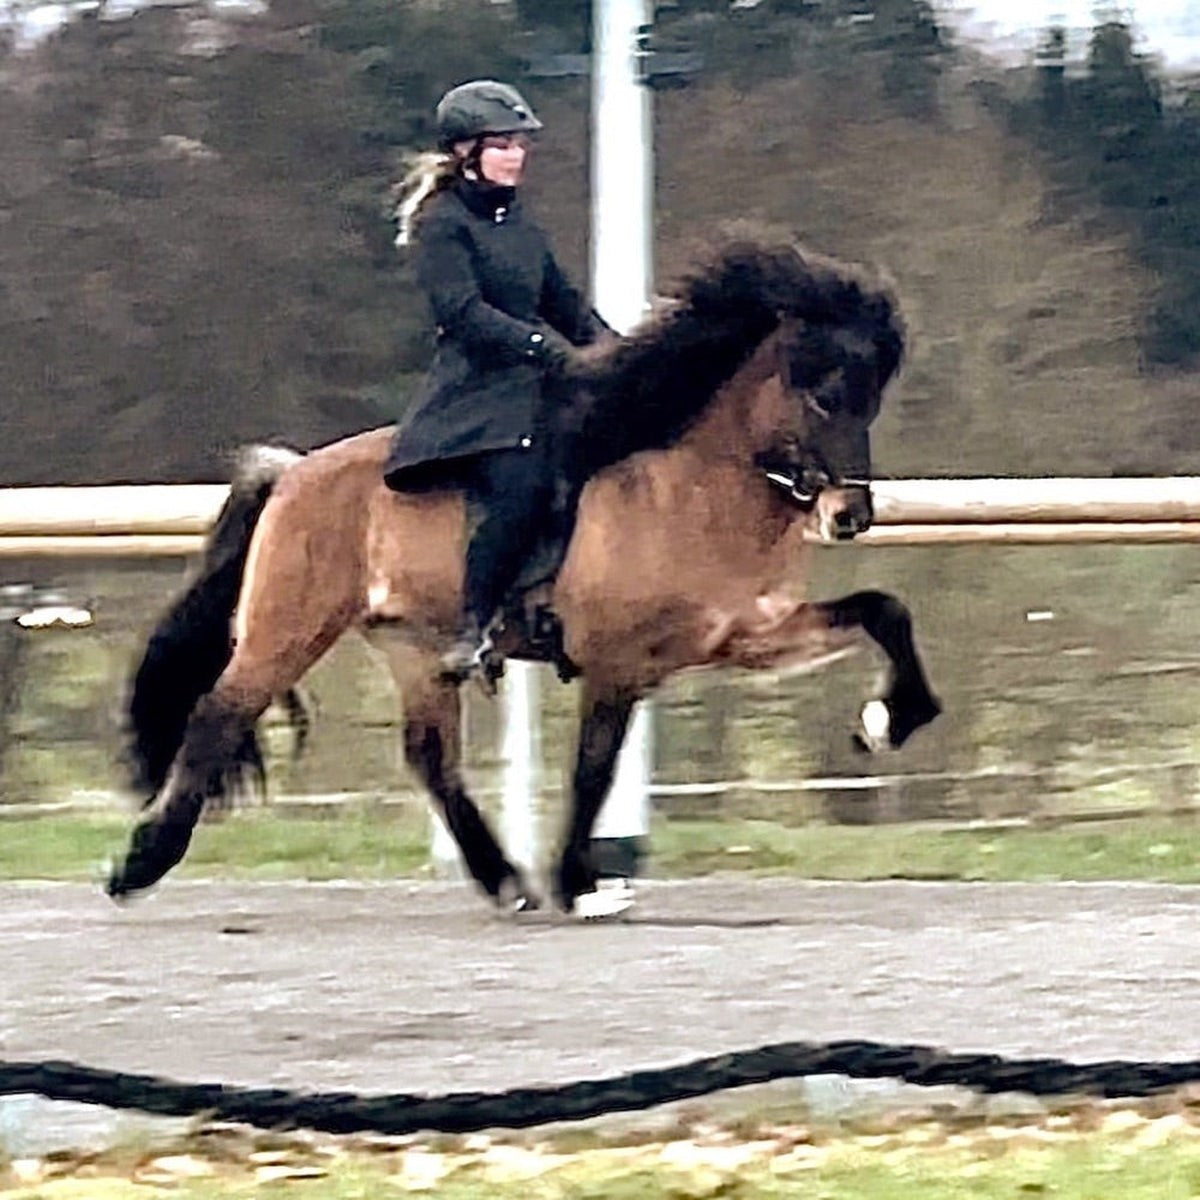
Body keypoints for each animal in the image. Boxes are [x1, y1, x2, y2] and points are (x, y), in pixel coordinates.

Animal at [105, 241, 936, 916]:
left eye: (872, 400)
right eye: (824, 394)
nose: (850, 515)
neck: (690, 488)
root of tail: (290, 474)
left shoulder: (746, 632)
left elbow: (883, 609)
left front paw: (888, 721)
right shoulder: (617, 661)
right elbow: (593, 770)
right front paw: (579, 881)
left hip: (413, 649)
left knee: (429, 757)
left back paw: (502, 879)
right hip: (289, 627)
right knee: (218, 714)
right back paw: (137, 867)